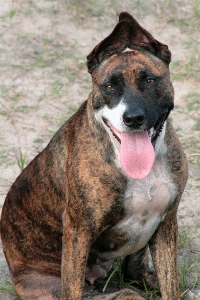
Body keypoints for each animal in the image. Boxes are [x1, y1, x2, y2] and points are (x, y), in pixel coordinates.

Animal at [0, 12, 188, 300]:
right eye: (109, 86)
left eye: (150, 81)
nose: (133, 118)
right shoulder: (78, 231)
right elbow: (72, 287)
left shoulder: (166, 223)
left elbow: (171, 286)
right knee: (125, 290)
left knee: (133, 271)